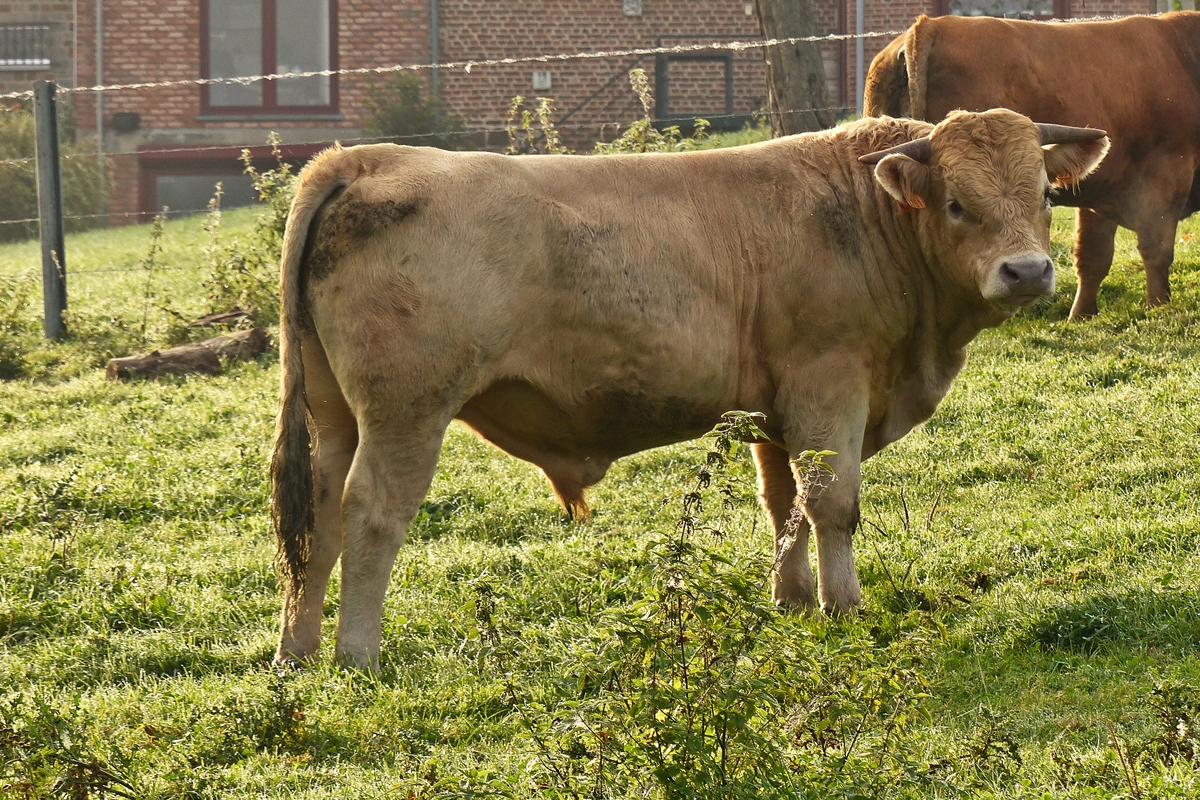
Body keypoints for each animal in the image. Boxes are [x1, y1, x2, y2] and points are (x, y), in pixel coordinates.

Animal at [272, 107, 1104, 671]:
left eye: (1045, 193)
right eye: (957, 202)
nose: (1027, 271)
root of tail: (361, 159)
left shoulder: (775, 405)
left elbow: (783, 503)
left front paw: (791, 598)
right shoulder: (828, 385)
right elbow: (831, 504)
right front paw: (843, 607)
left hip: (333, 415)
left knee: (317, 522)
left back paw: (298, 651)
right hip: (406, 413)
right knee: (371, 514)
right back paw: (356, 653)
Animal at [868, 11, 1200, 319]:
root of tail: (928, 25)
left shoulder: (1097, 195)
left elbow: (1093, 258)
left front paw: (1080, 316)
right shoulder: (1162, 182)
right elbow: (1156, 252)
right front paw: (1158, 310)